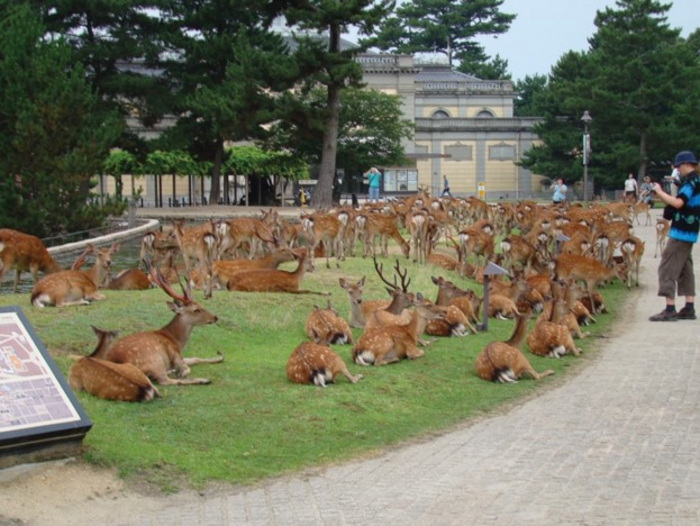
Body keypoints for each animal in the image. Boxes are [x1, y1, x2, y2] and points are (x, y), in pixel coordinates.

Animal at [94, 266, 223, 386]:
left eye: (200, 304)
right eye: (196, 310)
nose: (215, 317)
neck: (176, 340)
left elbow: (195, 358)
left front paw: (219, 357)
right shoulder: (175, 354)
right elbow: (187, 367)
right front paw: (180, 372)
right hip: (155, 361)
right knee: (164, 380)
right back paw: (203, 380)